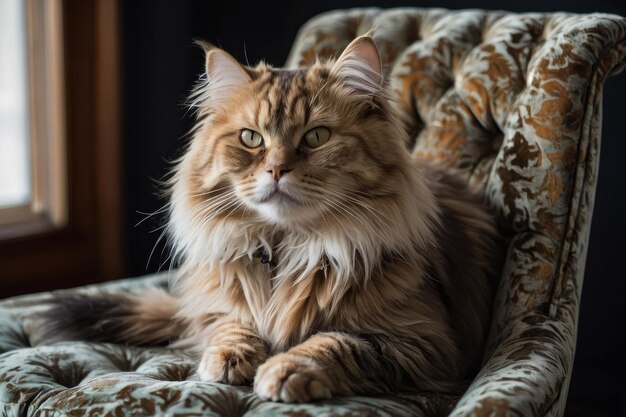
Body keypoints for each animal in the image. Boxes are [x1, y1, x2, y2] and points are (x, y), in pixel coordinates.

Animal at [44, 36, 500, 404]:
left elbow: (335, 342)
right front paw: (231, 357)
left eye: (316, 137)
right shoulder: (217, 310)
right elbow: (233, 325)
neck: (287, 250)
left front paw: (286, 370)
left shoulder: (424, 341)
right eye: (251, 138)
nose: (277, 169)